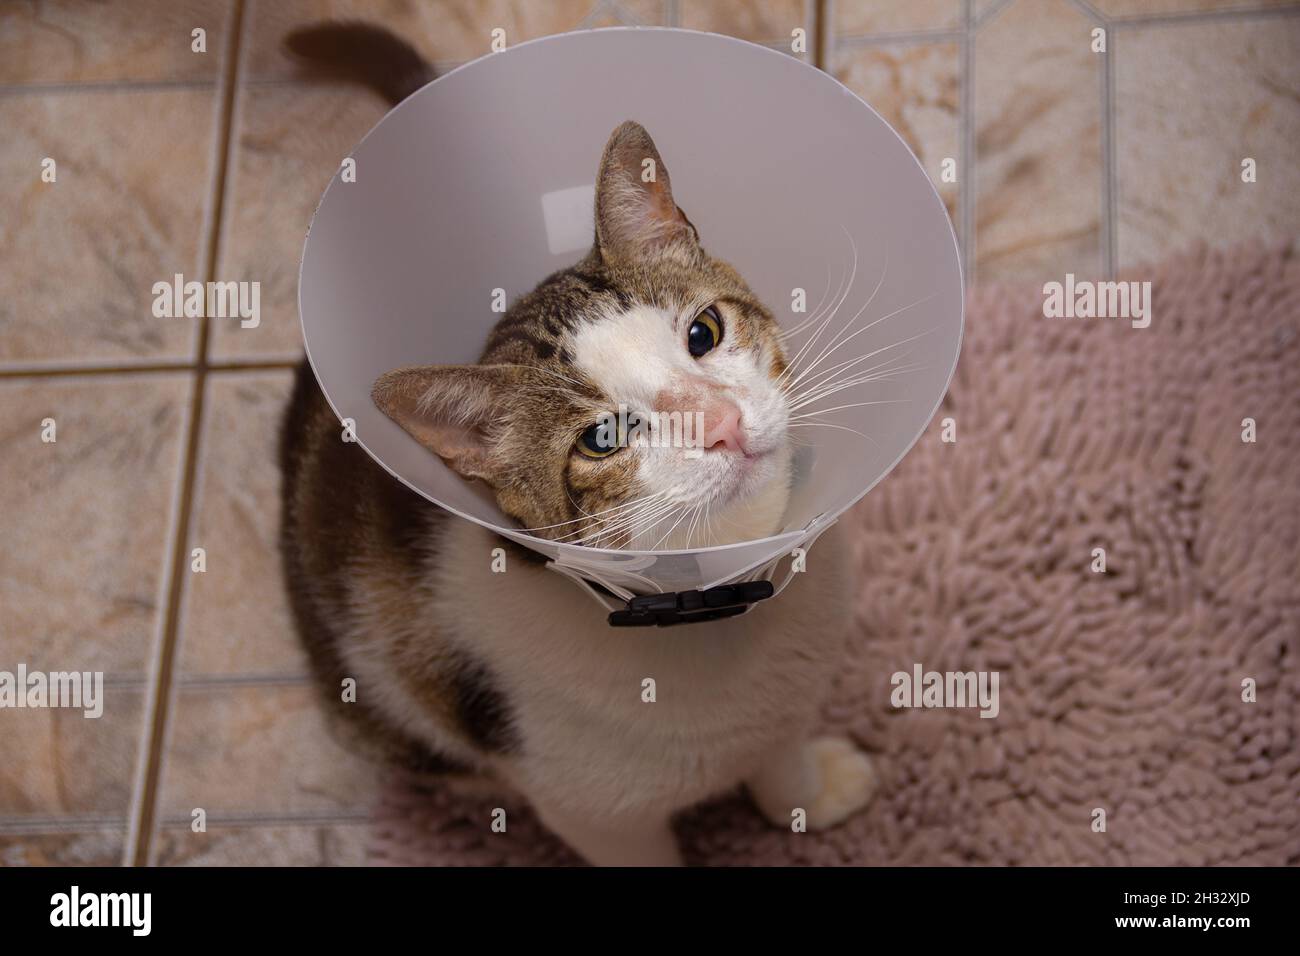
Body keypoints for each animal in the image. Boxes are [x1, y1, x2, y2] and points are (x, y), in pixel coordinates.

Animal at [280, 22, 878, 863]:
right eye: (603, 437)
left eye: (703, 332)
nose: (719, 422)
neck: (714, 603)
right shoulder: (596, 814)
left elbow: (780, 742)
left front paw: (804, 790)